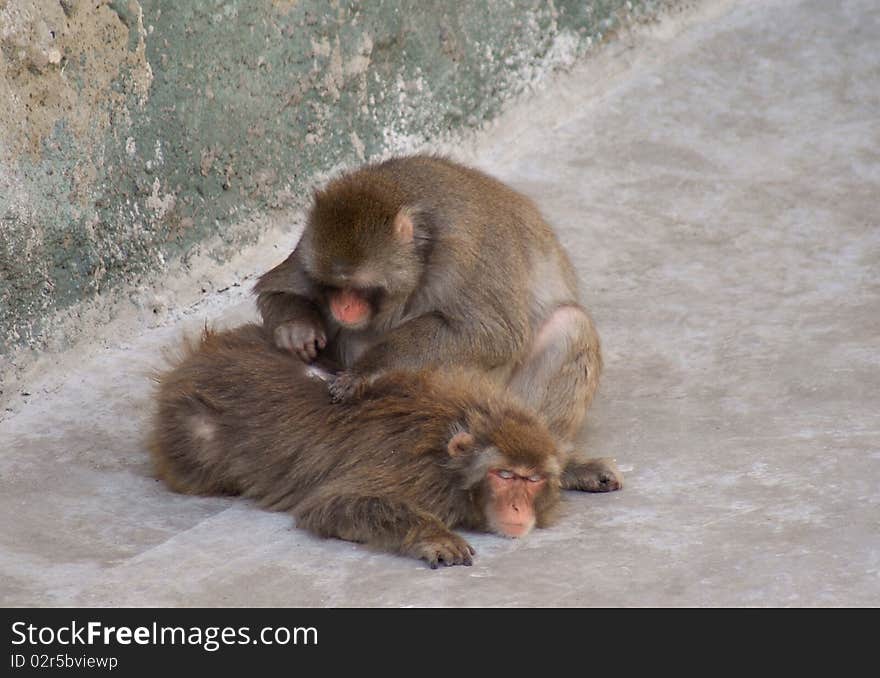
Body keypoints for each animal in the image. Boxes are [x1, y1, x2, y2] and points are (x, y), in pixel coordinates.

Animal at [150, 326, 564, 572]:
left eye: (532, 480)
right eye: (505, 475)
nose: (518, 507)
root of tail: (194, 358)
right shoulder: (414, 472)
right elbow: (332, 505)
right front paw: (434, 536)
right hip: (189, 428)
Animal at [256, 155, 620, 494]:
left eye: (358, 289)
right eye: (333, 286)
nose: (342, 307)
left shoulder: (463, 252)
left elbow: (493, 334)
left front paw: (368, 369)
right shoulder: (309, 248)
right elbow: (274, 289)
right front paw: (296, 329)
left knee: (569, 324)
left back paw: (559, 464)